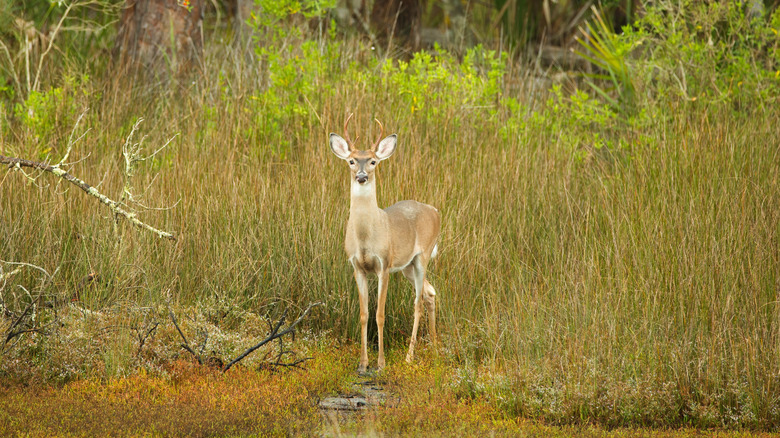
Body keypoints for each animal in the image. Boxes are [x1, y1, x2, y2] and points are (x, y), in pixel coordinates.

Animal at [329, 113, 441, 373]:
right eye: (351, 161)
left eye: (372, 161)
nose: (361, 176)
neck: (366, 237)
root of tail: (435, 211)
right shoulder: (357, 267)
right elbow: (364, 314)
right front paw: (362, 364)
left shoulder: (384, 265)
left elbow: (380, 314)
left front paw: (380, 363)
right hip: (408, 266)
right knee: (430, 293)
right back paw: (434, 347)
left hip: (422, 257)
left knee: (418, 302)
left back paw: (410, 357)